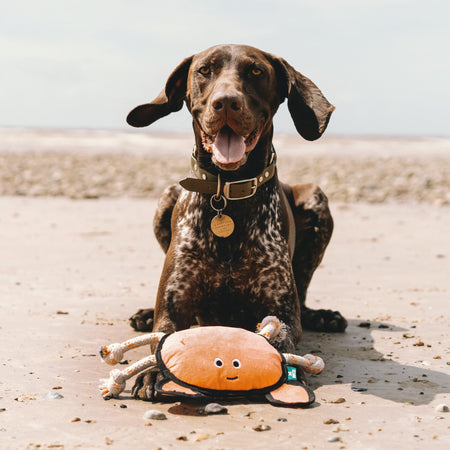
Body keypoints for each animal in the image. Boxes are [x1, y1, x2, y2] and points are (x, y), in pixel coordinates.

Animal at [126, 44, 348, 400]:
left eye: (256, 71)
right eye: (204, 70)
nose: (227, 102)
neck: (227, 195)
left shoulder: (280, 310)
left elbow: (281, 337)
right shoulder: (174, 307)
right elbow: (162, 336)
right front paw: (154, 371)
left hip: (316, 198)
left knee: (304, 291)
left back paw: (323, 316)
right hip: (166, 196)